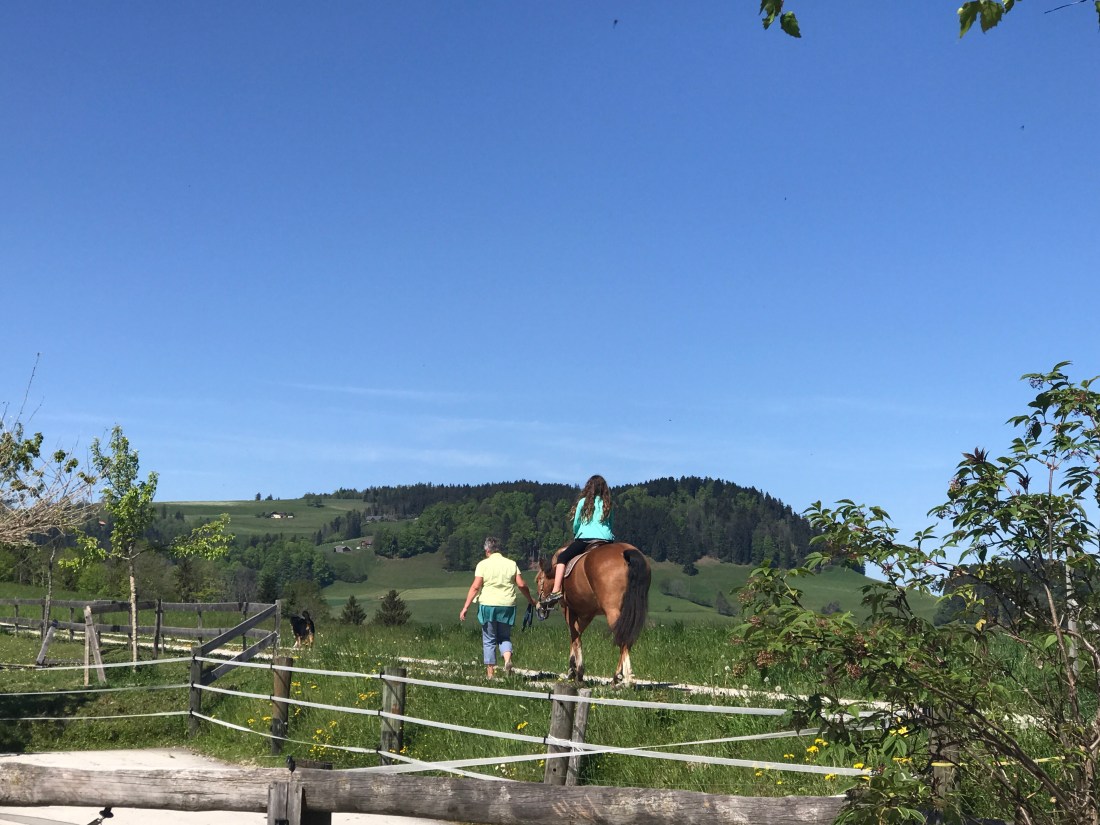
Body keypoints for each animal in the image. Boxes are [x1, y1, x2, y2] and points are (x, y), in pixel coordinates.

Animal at [535, 541, 651, 685]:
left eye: (538, 580)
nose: (539, 606)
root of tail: (625, 552)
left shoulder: (568, 609)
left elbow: (575, 637)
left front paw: (577, 671)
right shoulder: (587, 614)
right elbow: (577, 635)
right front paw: (574, 670)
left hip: (613, 612)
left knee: (623, 639)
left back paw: (624, 677)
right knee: (627, 640)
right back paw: (618, 677)